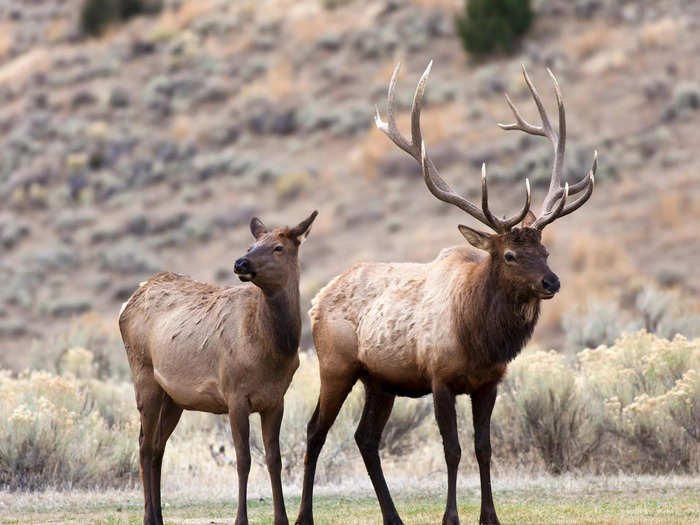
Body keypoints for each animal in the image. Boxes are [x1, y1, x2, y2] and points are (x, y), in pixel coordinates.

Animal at [119, 210, 318, 524]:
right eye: (251, 245)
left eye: (278, 247)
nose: (241, 262)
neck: (271, 351)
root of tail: (127, 302)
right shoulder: (235, 395)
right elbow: (244, 460)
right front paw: (241, 519)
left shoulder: (276, 399)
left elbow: (274, 459)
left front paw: (281, 518)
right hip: (143, 376)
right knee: (145, 445)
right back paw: (149, 517)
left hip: (173, 397)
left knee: (158, 446)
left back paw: (160, 516)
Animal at [296, 62, 596, 524]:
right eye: (510, 254)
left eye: (545, 250)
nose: (552, 282)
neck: (479, 339)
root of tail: (317, 298)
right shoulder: (439, 377)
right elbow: (452, 450)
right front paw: (450, 516)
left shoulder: (490, 382)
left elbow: (484, 448)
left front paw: (490, 516)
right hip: (336, 365)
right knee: (315, 431)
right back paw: (304, 515)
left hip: (380, 380)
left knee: (366, 438)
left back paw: (393, 516)